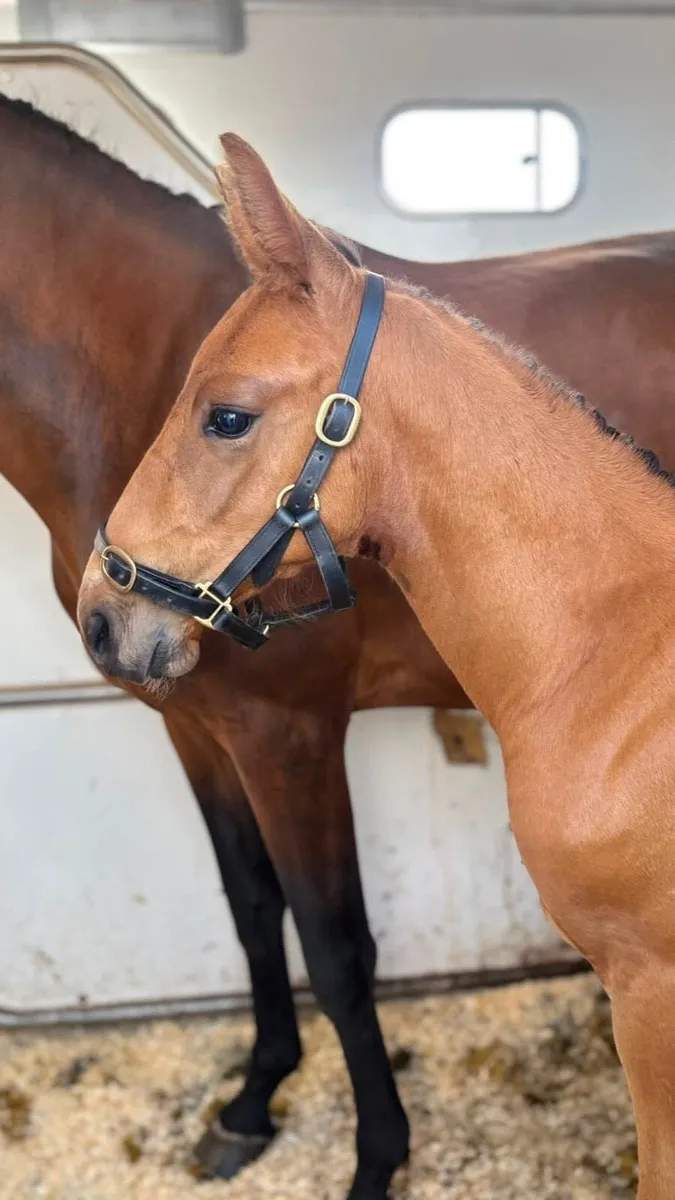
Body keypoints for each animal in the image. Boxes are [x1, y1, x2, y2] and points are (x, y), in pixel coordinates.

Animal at [7, 94, 675, 1197]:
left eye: (227, 416)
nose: (108, 614)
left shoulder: (289, 732)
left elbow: (334, 945)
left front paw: (375, 1155)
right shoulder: (194, 723)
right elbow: (250, 906)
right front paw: (250, 1101)